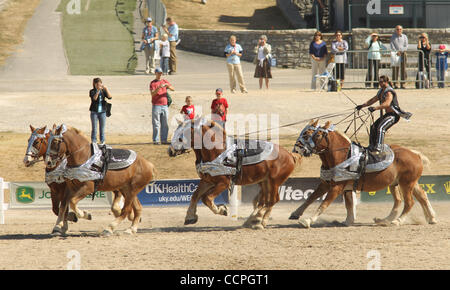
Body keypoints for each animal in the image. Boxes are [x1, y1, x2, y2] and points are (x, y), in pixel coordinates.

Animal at [167, 118, 300, 229]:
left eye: (180, 137)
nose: (170, 151)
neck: (216, 151)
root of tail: (290, 155)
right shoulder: (207, 181)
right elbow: (195, 196)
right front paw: (190, 217)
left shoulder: (224, 183)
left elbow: (206, 198)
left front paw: (222, 210)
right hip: (264, 182)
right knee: (264, 201)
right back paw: (254, 220)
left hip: (274, 182)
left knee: (272, 200)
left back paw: (258, 220)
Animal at [292, 119, 436, 227]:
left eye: (314, 135)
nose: (297, 149)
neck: (343, 155)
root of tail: (415, 154)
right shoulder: (327, 184)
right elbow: (312, 198)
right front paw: (296, 213)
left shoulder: (336, 187)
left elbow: (324, 204)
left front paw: (308, 220)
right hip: (401, 183)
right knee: (417, 197)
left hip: (406, 184)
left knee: (409, 202)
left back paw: (397, 221)